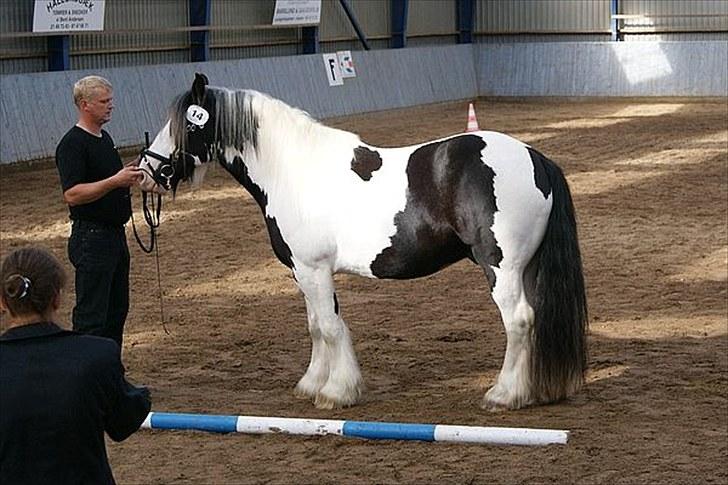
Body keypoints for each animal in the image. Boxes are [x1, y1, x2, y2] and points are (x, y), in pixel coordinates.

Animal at [139, 73, 588, 410]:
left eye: (186, 124)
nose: (146, 170)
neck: (292, 171)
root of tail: (536, 158)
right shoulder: (303, 272)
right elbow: (317, 325)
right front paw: (312, 383)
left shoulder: (314, 269)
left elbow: (330, 327)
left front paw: (337, 392)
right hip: (527, 267)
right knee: (535, 318)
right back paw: (532, 391)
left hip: (501, 267)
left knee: (519, 320)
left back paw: (504, 395)